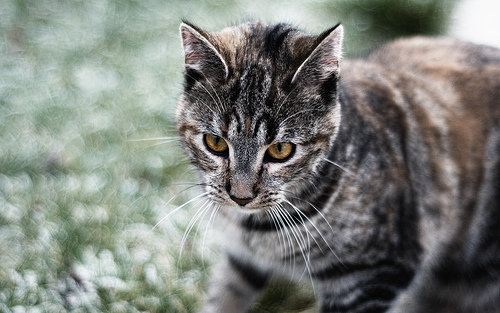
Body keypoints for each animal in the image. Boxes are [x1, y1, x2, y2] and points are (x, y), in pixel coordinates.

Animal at [175, 20, 500, 310]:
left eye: (280, 149)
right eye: (215, 142)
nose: (240, 197)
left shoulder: (369, 278)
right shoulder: (242, 260)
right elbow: (224, 296)